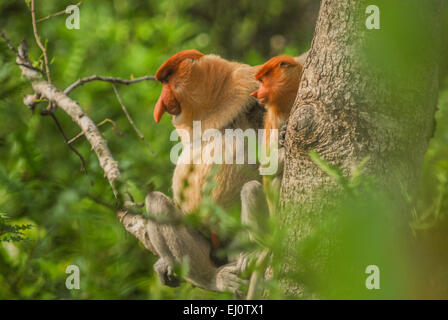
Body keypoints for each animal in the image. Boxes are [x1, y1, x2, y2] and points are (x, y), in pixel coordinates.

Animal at [117, 48, 268, 294]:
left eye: (168, 78)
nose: (160, 103)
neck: (212, 104)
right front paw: (163, 265)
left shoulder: (246, 80)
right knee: (156, 202)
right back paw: (214, 278)